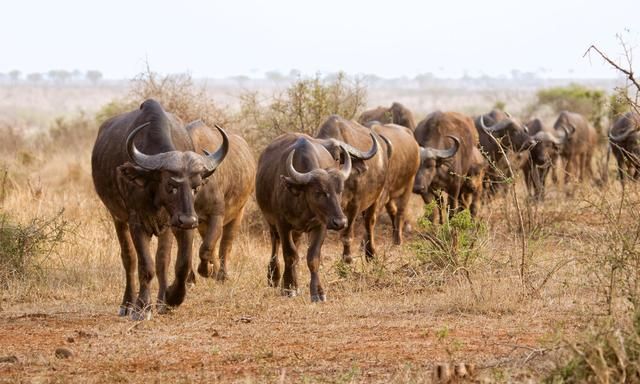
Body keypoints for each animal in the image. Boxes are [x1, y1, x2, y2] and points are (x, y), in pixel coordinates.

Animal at [91, 98, 229, 318]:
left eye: (196, 186)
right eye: (170, 185)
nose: (188, 220)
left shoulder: (176, 225)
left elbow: (178, 264)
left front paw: (171, 298)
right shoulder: (137, 223)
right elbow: (145, 266)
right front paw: (142, 307)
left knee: (162, 261)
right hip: (117, 218)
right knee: (129, 258)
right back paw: (127, 304)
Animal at [185, 120, 255, 282]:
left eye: (196, 185)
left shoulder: (217, 215)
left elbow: (207, 247)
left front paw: (205, 271)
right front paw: (191, 278)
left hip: (238, 214)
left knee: (225, 244)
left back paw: (222, 274)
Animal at [256, 134, 356, 302]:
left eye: (340, 190)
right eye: (319, 192)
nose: (340, 222)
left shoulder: (321, 225)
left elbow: (312, 258)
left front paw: (318, 292)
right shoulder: (282, 224)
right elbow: (289, 254)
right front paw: (288, 288)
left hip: (297, 231)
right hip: (271, 223)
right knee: (276, 245)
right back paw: (275, 277)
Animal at [316, 115, 382, 262]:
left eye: (336, 157)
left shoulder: (354, 205)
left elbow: (347, 235)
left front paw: (347, 259)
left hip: (375, 198)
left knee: (369, 223)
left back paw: (371, 254)